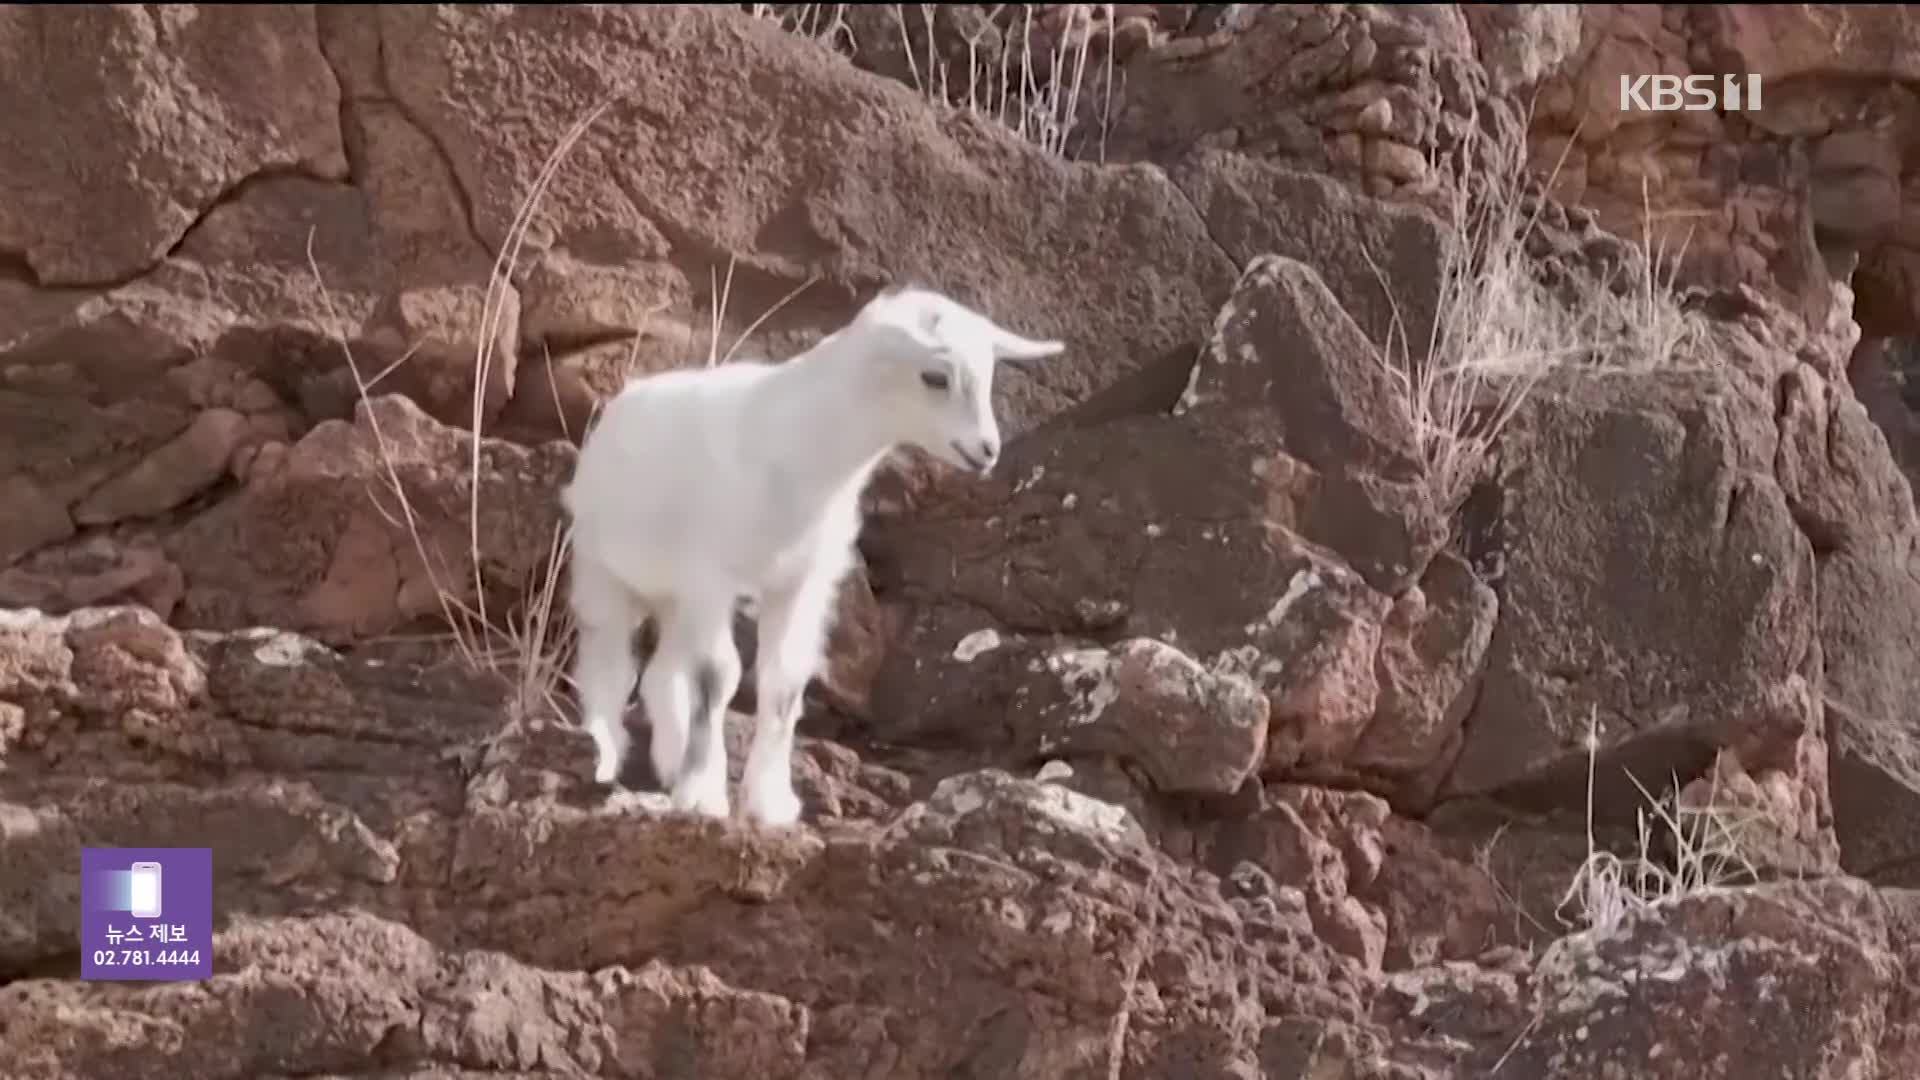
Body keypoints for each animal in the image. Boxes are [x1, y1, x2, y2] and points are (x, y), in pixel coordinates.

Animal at [556, 284, 1067, 822]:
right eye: (935, 376)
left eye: (989, 374)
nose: (987, 449)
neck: (801, 451)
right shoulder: (711, 575)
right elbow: (718, 677)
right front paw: (704, 795)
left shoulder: (801, 580)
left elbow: (783, 682)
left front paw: (769, 802)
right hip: (603, 570)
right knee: (610, 664)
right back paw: (603, 752)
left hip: (675, 596)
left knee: (661, 673)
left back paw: (671, 761)